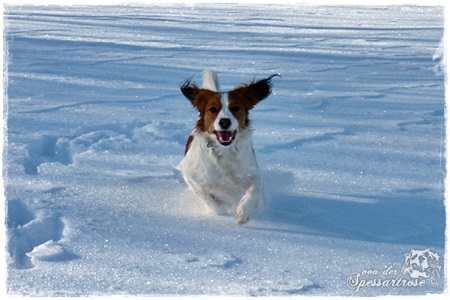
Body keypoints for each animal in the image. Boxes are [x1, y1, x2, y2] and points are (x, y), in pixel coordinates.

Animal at [177, 70, 278, 224]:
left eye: (236, 108)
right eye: (212, 109)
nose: (224, 121)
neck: (224, 151)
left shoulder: (251, 172)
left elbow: (254, 190)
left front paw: (243, 211)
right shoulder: (191, 175)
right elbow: (211, 201)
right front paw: (222, 210)